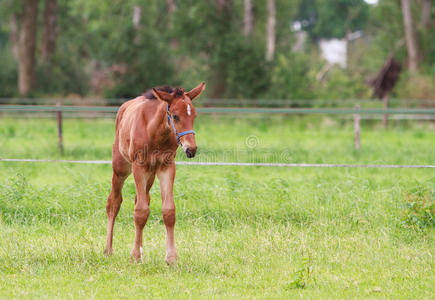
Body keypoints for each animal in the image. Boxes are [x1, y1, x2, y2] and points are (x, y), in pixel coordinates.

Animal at [106, 81, 207, 262]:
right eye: (175, 116)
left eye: (194, 115)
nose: (191, 149)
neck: (154, 132)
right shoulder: (138, 166)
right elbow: (140, 211)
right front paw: (135, 257)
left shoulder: (166, 167)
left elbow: (168, 211)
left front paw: (171, 258)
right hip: (121, 168)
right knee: (114, 202)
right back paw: (108, 250)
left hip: (150, 173)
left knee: (142, 199)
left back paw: (139, 248)